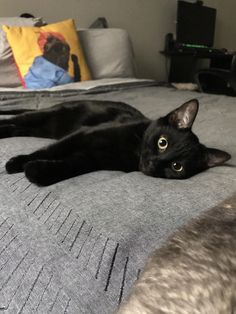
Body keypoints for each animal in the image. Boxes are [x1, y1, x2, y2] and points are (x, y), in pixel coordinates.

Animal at [0, 99, 230, 185]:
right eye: (162, 142)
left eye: (177, 166)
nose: (154, 163)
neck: (132, 151)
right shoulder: (83, 134)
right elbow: (50, 151)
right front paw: (17, 163)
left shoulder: (90, 159)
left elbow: (69, 167)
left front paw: (37, 172)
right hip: (43, 116)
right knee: (15, 120)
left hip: (42, 128)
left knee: (17, 128)